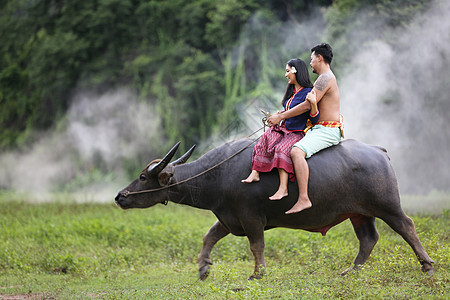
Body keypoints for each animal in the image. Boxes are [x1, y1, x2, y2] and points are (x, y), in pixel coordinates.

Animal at [114, 138, 434, 278]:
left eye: (143, 177)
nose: (120, 196)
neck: (217, 174)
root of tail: (379, 151)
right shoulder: (229, 218)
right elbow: (209, 236)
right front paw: (203, 268)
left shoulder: (251, 217)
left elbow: (257, 245)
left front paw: (258, 274)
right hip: (359, 213)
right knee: (368, 238)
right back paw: (350, 272)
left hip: (386, 204)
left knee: (406, 226)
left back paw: (427, 265)